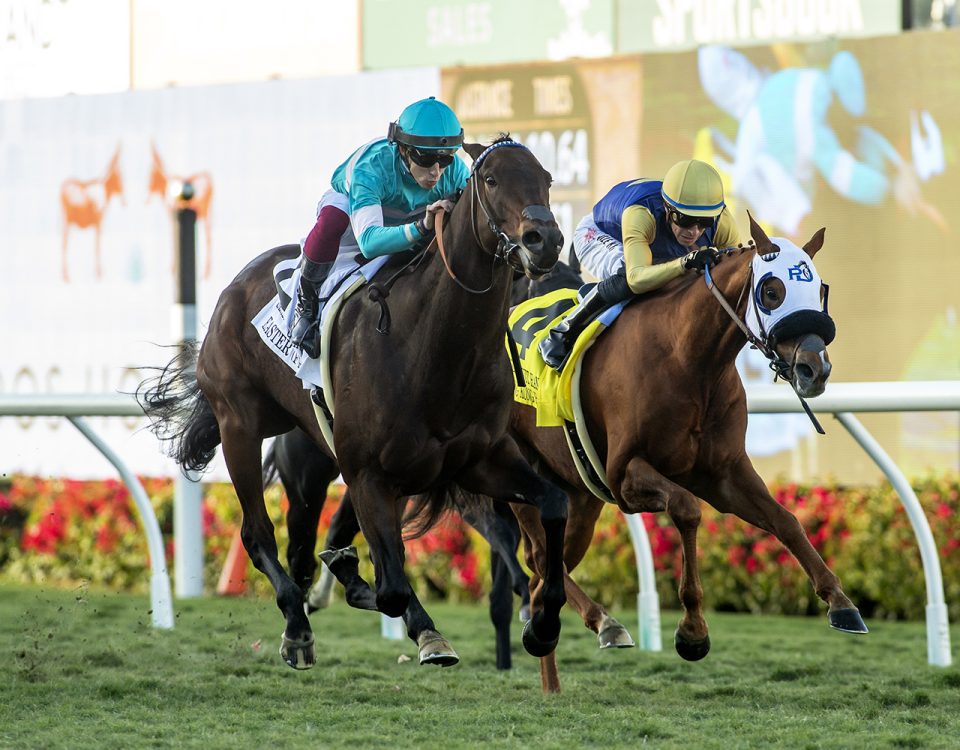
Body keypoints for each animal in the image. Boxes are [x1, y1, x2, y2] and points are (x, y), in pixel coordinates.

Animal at [139, 138, 568, 672]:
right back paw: (298, 625)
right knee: (261, 535)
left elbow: (553, 503)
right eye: (490, 180)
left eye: (546, 178)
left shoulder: (480, 460)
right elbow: (390, 588)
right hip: (240, 424)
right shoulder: (368, 473)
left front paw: (544, 625)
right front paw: (424, 630)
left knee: (303, 550)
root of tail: (238, 283)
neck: (435, 347)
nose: (543, 240)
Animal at [510, 216, 872, 692]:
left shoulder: (725, 474)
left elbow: (787, 522)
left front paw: (842, 603)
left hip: (581, 495)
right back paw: (594, 624)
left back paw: (547, 648)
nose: (815, 369)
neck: (688, 358)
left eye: (819, 290)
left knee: (547, 566)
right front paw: (693, 631)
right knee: (538, 557)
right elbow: (687, 509)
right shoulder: (625, 474)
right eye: (771, 291)